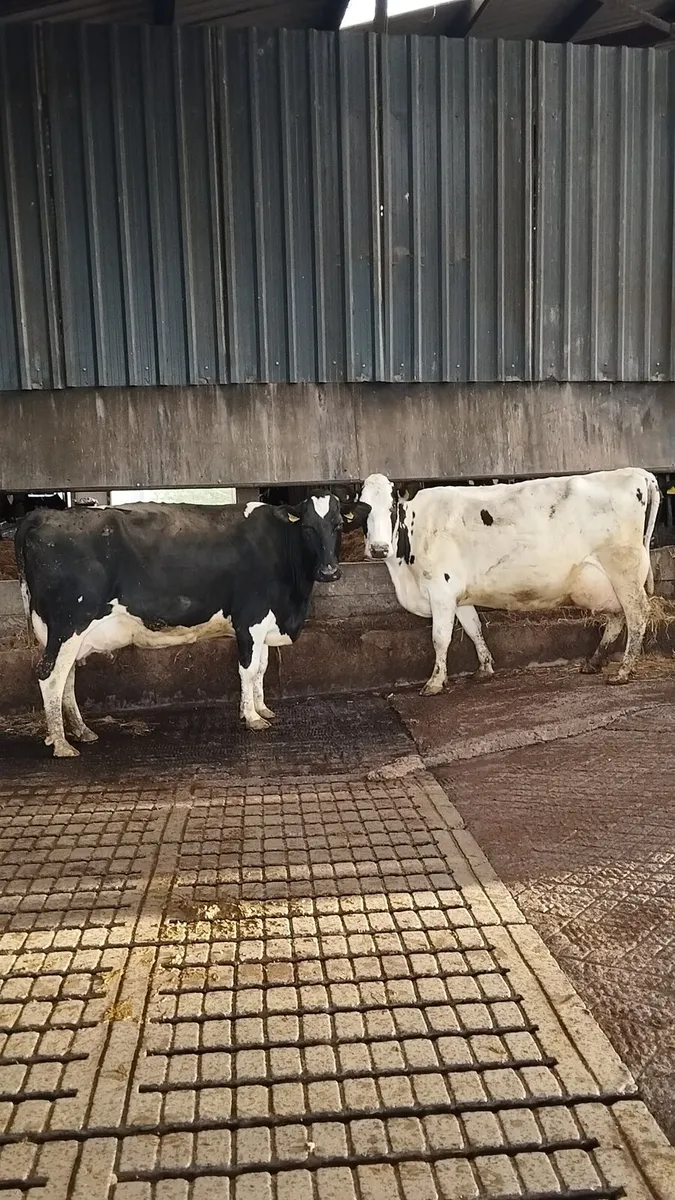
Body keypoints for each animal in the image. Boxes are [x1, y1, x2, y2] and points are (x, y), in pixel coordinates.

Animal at [15, 493, 369, 758]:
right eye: (308, 528)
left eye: (338, 525)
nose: (329, 571)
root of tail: (42, 516)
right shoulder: (250, 618)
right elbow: (248, 670)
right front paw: (252, 717)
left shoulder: (264, 622)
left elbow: (262, 668)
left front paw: (262, 708)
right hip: (68, 622)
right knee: (50, 676)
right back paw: (62, 744)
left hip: (66, 632)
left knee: (66, 678)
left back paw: (81, 731)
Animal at [355, 469, 661, 695]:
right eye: (363, 511)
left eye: (392, 508)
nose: (379, 549)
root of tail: (639, 473)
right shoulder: (458, 595)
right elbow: (474, 627)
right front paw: (484, 668)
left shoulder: (441, 591)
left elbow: (440, 638)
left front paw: (434, 683)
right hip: (605, 579)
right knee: (617, 615)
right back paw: (595, 661)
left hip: (624, 571)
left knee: (636, 614)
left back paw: (623, 672)